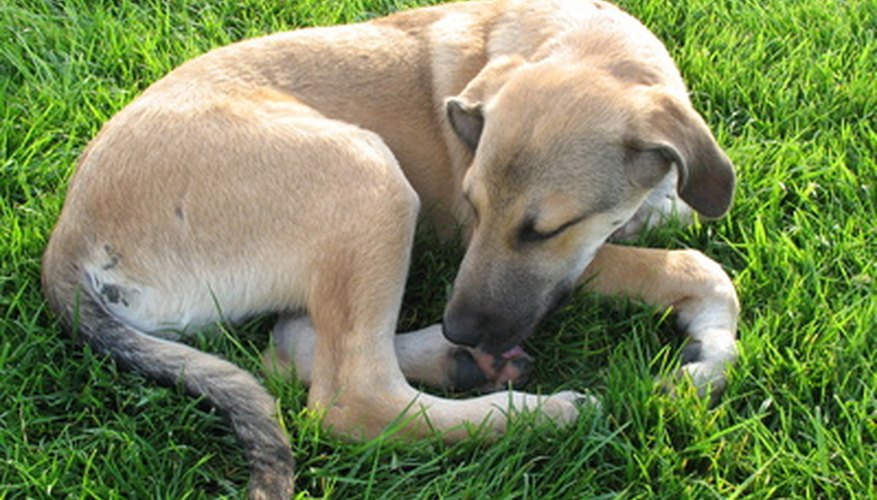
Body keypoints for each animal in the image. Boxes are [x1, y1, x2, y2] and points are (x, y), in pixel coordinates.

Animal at [42, 0, 740, 496]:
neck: (580, 38)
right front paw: (709, 353)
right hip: (368, 177)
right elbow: (700, 267)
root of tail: (67, 239)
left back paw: (457, 363)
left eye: (542, 230)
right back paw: (536, 411)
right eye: (473, 204)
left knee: (291, 347)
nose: (463, 328)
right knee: (353, 399)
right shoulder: (493, 244)